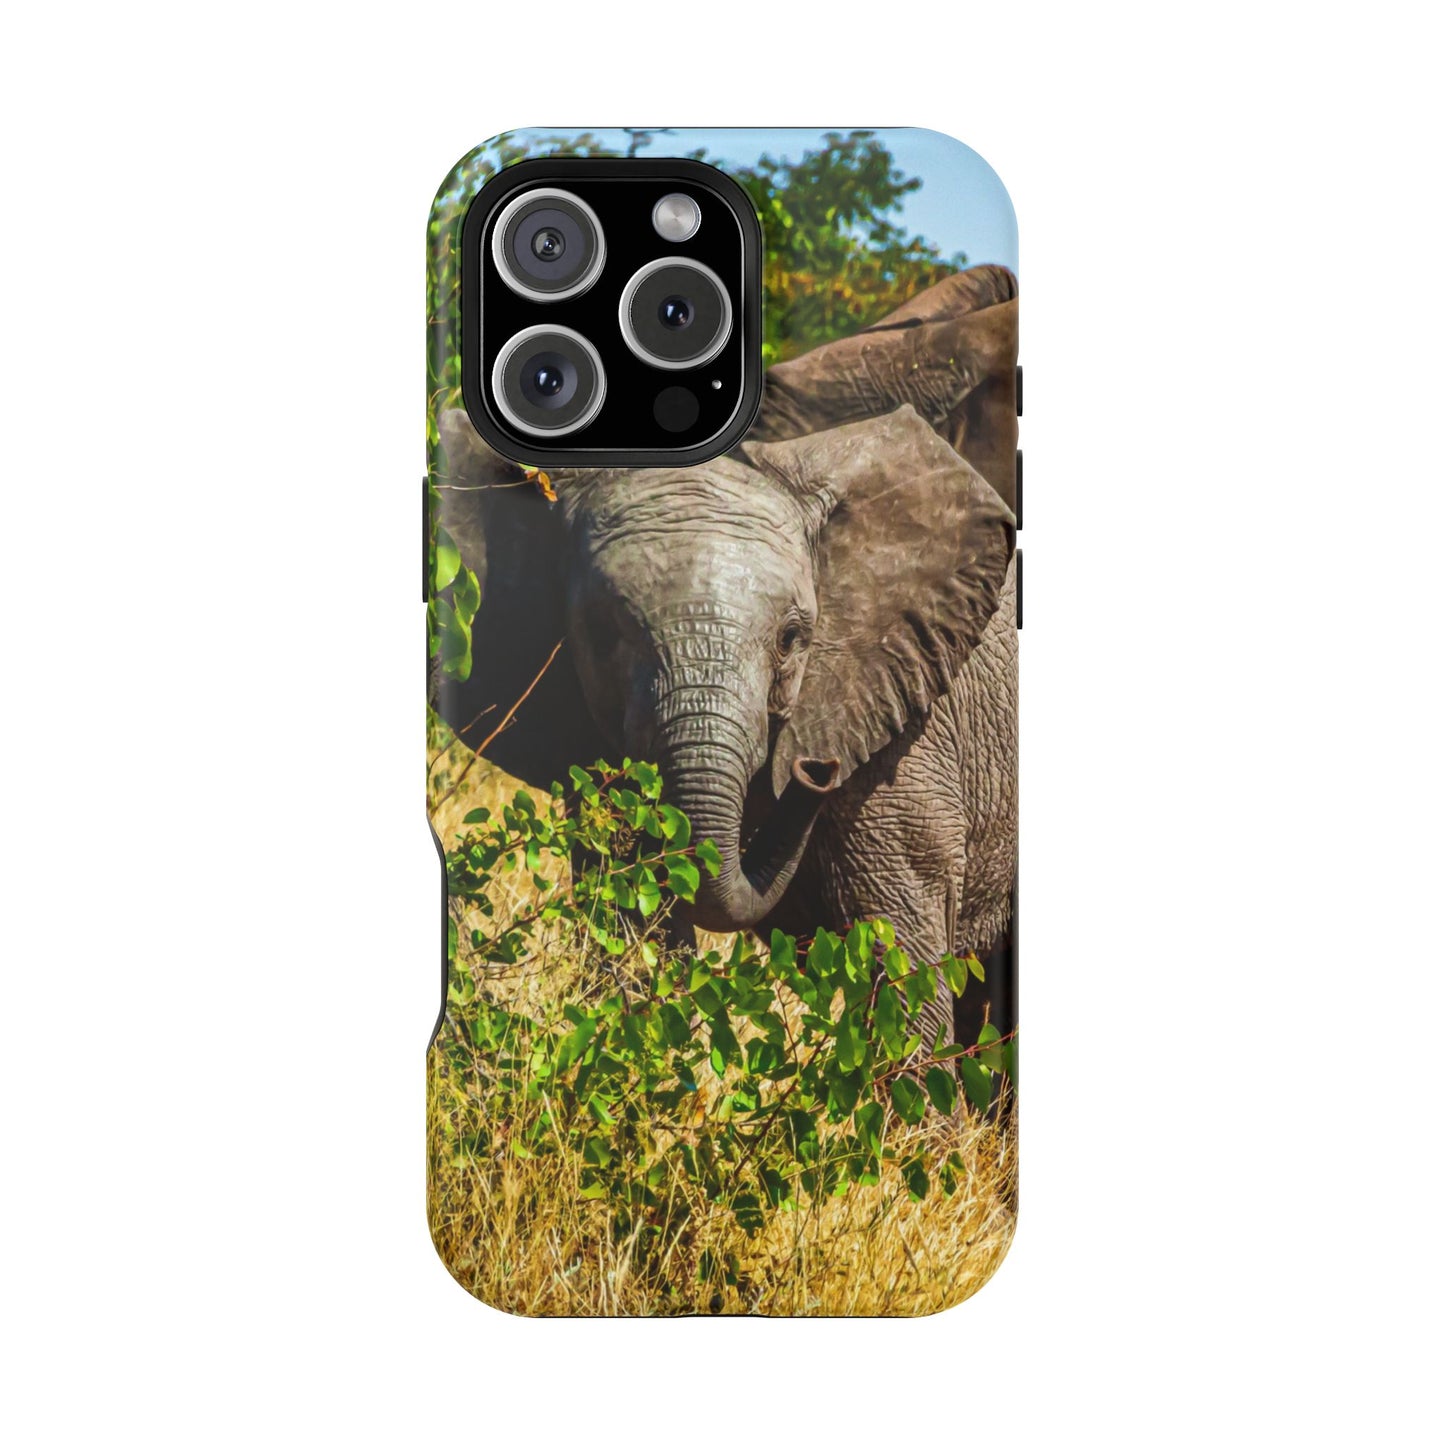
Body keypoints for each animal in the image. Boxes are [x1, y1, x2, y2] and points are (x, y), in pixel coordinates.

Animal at [432, 398, 1017, 1049]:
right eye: (603, 634)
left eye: (791, 639)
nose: (816, 770)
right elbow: (634, 914)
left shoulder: (901, 738)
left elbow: (897, 952)